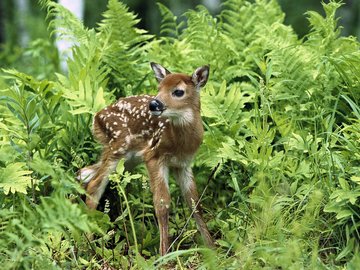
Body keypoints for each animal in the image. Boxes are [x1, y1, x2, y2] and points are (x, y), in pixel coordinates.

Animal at [78, 62, 214, 256]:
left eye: (178, 91)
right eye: (159, 88)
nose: (154, 103)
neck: (179, 143)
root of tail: (96, 118)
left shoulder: (183, 164)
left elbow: (195, 202)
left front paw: (212, 248)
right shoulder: (154, 156)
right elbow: (162, 204)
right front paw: (165, 255)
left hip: (127, 159)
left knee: (85, 173)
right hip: (118, 147)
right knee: (95, 184)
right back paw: (89, 245)